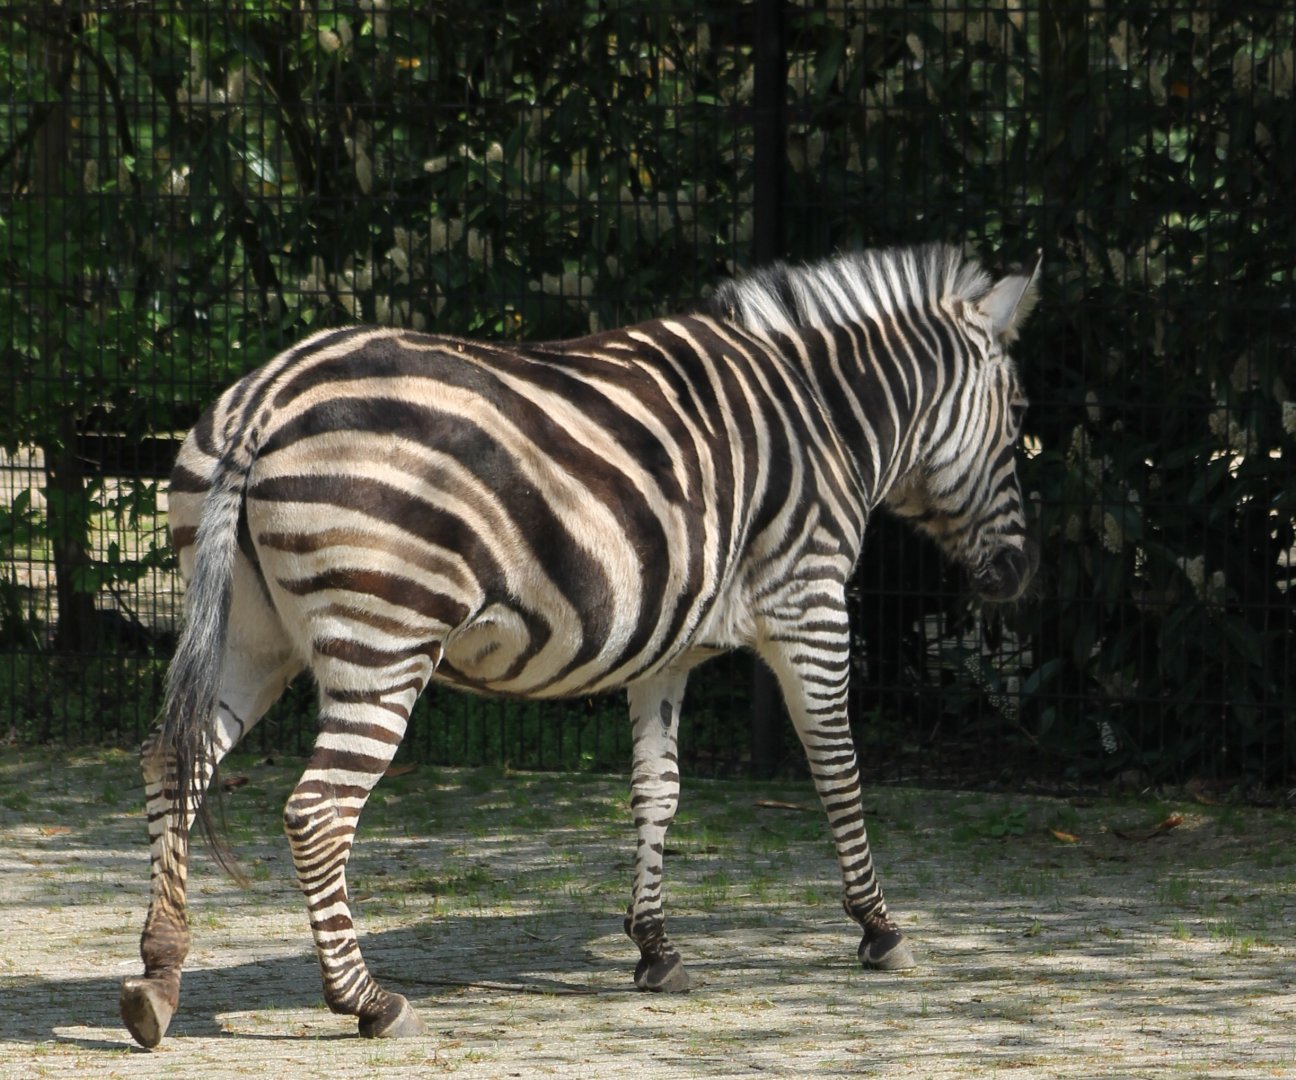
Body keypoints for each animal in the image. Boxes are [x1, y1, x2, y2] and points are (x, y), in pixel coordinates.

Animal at [120, 242, 1040, 1047]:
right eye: (1021, 420)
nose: (1016, 575)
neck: (826, 413)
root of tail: (265, 399)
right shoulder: (809, 603)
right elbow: (839, 769)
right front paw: (880, 928)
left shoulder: (667, 648)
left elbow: (658, 790)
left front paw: (655, 947)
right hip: (383, 640)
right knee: (316, 810)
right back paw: (367, 1000)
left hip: (251, 636)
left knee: (173, 759)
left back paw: (158, 979)